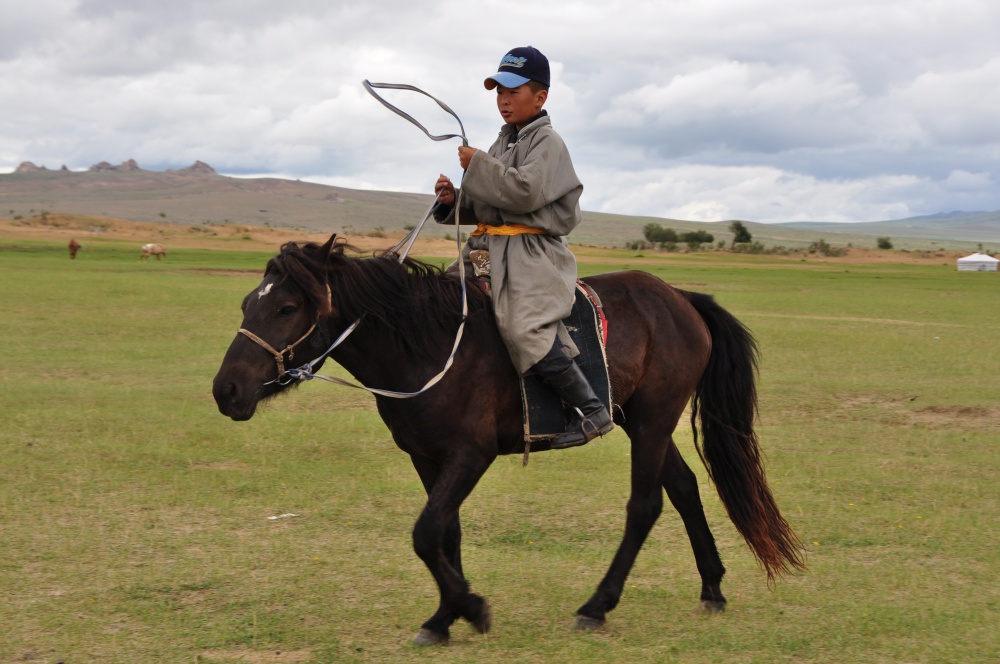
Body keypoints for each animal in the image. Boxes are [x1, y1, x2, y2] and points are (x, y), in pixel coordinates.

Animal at [211, 233, 804, 644]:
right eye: (246, 304)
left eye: (287, 308)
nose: (226, 390)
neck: (427, 345)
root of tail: (679, 298)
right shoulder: (427, 459)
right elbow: (445, 534)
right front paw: (444, 616)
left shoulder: (470, 456)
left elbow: (425, 533)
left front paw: (470, 608)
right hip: (639, 418)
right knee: (682, 489)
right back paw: (712, 587)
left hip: (654, 419)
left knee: (646, 504)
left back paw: (597, 605)